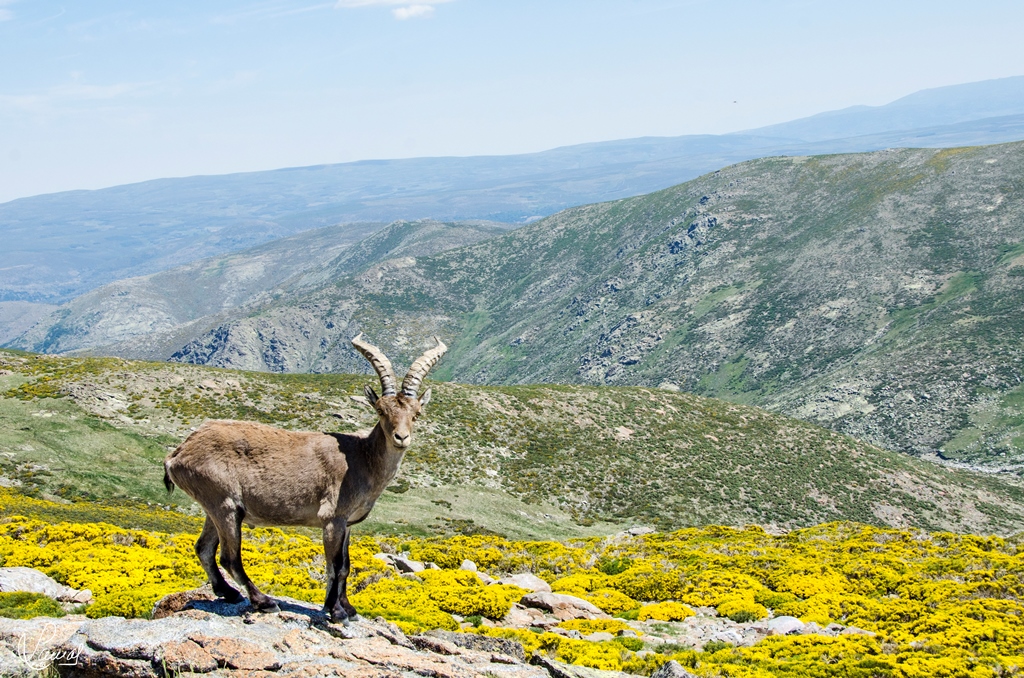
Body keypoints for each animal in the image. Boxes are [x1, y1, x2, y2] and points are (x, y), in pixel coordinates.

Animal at [163, 333, 446, 623]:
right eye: (380, 410)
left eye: (416, 414)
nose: (401, 437)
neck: (362, 459)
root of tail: (178, 453)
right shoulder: (332, 518)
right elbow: (334, 565)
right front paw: (335, 611)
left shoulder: (347, 523)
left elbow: (345, 566)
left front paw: (348, 608)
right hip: (226, 505)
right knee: (230, 558)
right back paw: (264, 601)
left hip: (213, 507)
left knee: (203, 548)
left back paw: (228, 593)